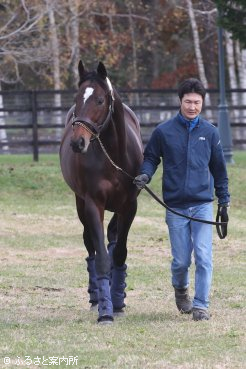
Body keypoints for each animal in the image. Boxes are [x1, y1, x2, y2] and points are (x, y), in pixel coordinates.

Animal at [59, 60, 143, 322]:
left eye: (99, 100)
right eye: (77, 98)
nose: (78, 143)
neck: (113, 157)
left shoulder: (129, 206)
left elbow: (119, 253)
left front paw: (117, 301)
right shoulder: (93, 204)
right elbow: (102, 260)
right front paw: (105, 310)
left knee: (113, 239)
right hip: (80, 204)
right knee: (91, 247)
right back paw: (96, 298)